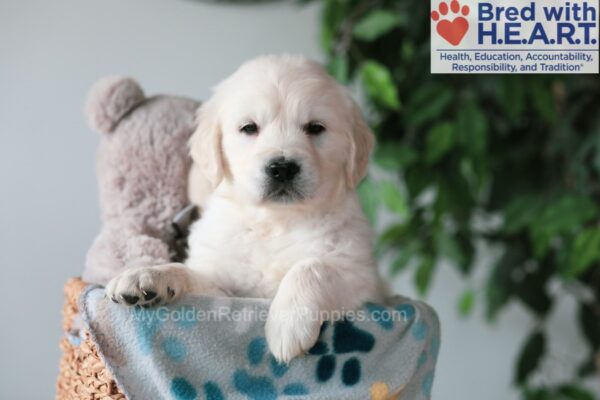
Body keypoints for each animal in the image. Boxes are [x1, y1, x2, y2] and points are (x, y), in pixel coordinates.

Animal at [105, 54, 382, 364]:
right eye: (249, 128)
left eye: (315, 128)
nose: (283, 168)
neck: (274, 222)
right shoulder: (225, 289)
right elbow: (186, 271)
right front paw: (146, 276)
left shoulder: (365, 280)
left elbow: (311, 266)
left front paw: (287, 324)